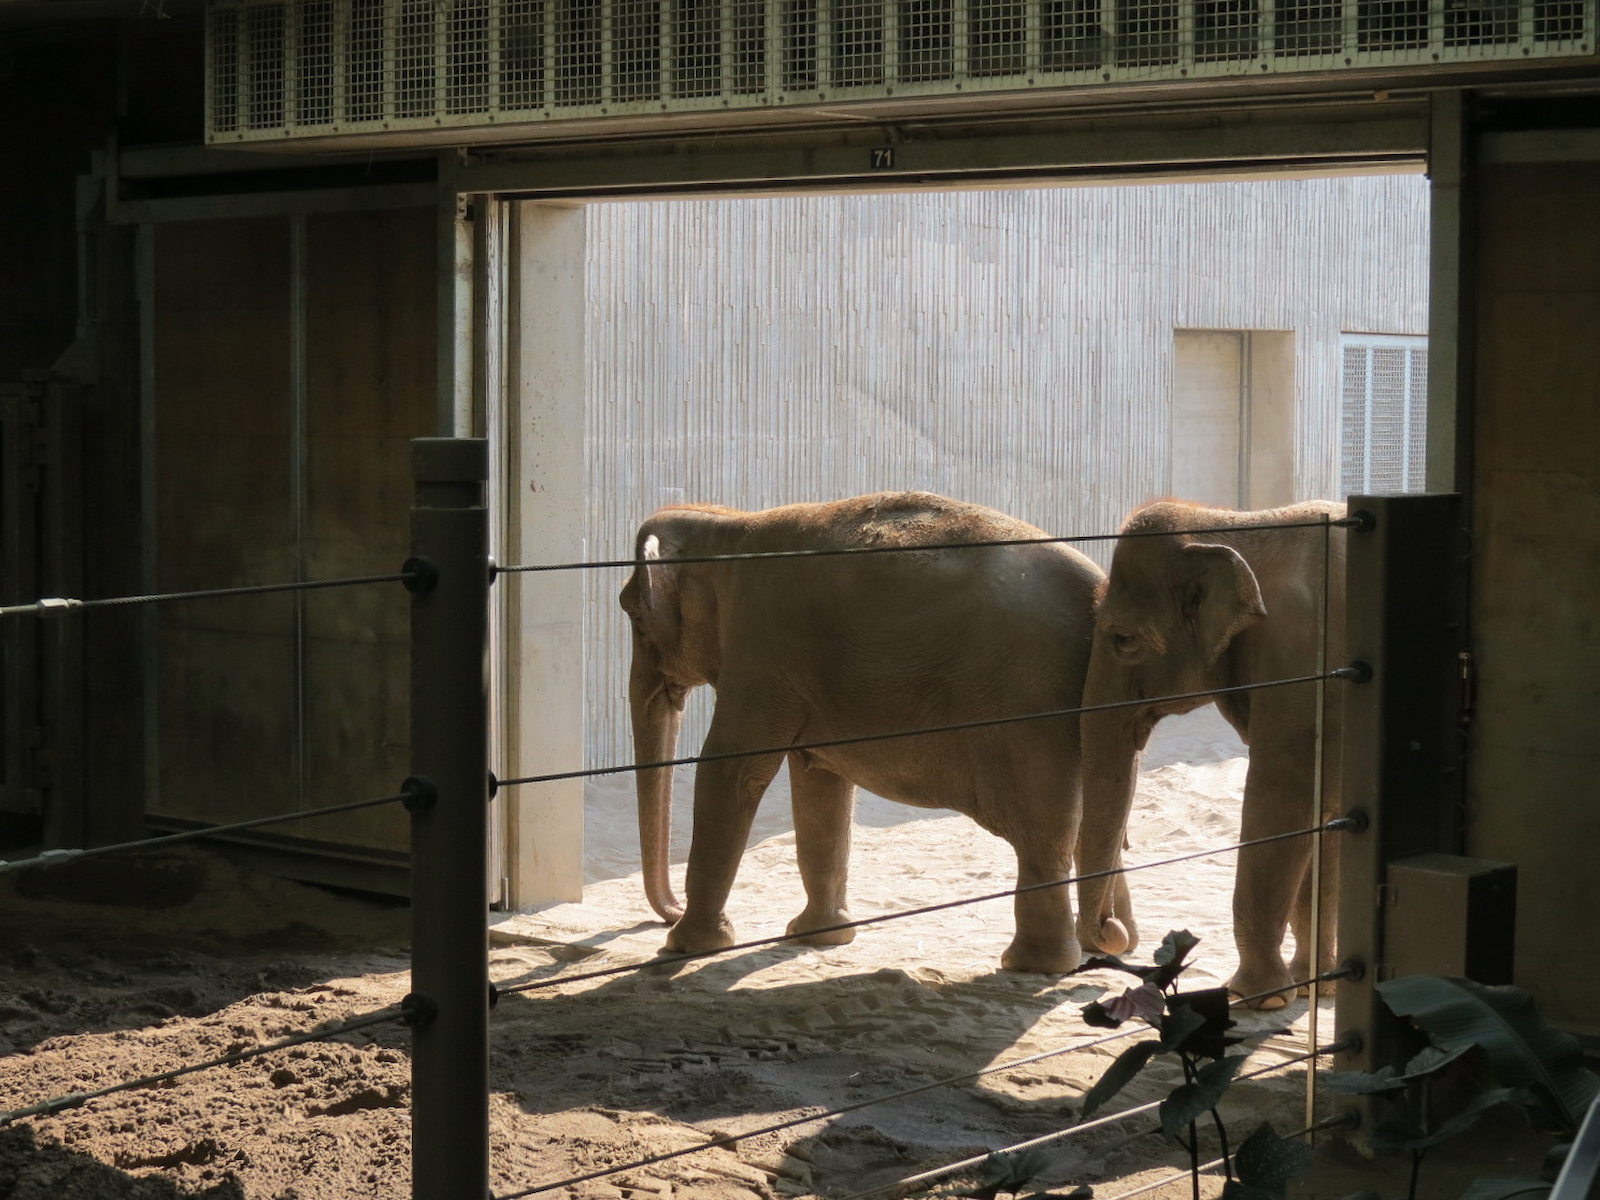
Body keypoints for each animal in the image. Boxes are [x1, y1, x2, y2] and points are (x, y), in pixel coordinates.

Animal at [618, 491, 1106, 973]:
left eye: (634, 614)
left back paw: (1036, 963)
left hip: (1031, 710)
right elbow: (821, 782)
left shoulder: (760, 649)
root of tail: (1099, 589)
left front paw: (684, 948)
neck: (729, 524)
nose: (668, 914)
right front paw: (819, 936)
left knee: (1043, 835)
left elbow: (732, 773)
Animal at [1074, 499, 1347, 1009]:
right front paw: (1311, 987)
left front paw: (1257, 997)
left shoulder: (1302, 666)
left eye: (1124, 640)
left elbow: (1280, 801)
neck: (1235, 523)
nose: (1114, 930)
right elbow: (1325, 818)